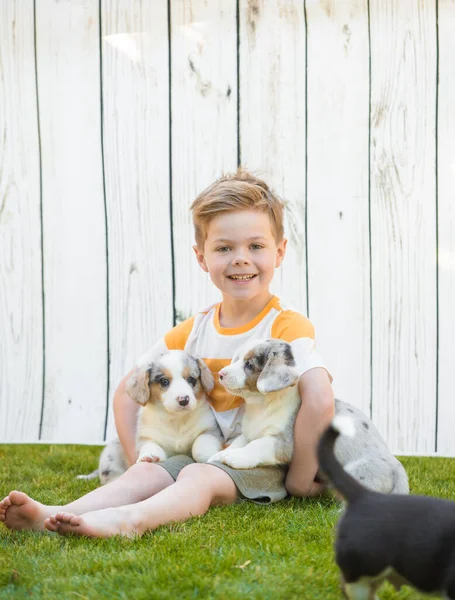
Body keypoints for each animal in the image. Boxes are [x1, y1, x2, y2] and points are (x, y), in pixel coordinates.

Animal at [78, 352, 224, 482]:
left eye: (191, 379)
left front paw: (209, 456)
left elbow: (200, 444)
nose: (183, 400)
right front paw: (150, 456)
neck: (176, 419)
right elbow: (150, 446)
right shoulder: (147, 436)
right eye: (164, 381)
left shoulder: (210, 430)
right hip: (110, 455)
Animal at [208, 340, 302, 472]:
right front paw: (221, 454)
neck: (260, 405)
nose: (220, 374)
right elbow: (237, 442)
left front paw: (235, 456)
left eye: (249, 364)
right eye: (239, 358)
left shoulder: (283, 441)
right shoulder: (247, 433)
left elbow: (256, 445)